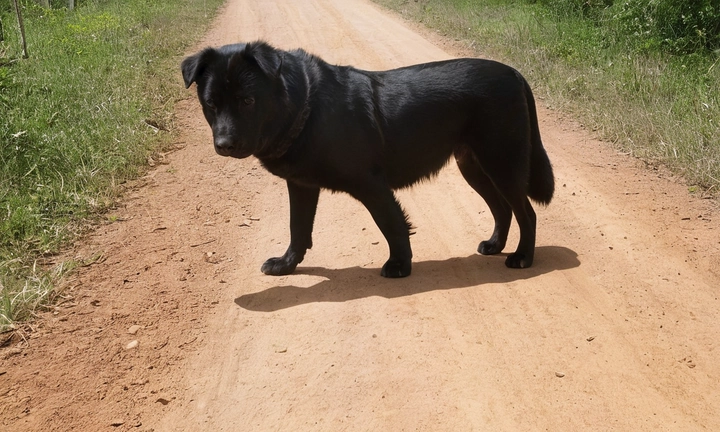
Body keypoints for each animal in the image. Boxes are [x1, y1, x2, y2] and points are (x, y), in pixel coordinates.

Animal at [183, 40, 556, 276]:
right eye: (211, 104)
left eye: (247, 101)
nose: (224, 144)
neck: (306, 107)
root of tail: (516, 74)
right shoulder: (301, 186)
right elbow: (298, 229)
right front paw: (287, 265)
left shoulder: (371, 185)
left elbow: (392, 225)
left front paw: (400, 267)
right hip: (474, 166)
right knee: (503, 209)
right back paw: (495, 245)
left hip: (501, 162)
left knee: (526, 213)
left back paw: (522, 257)